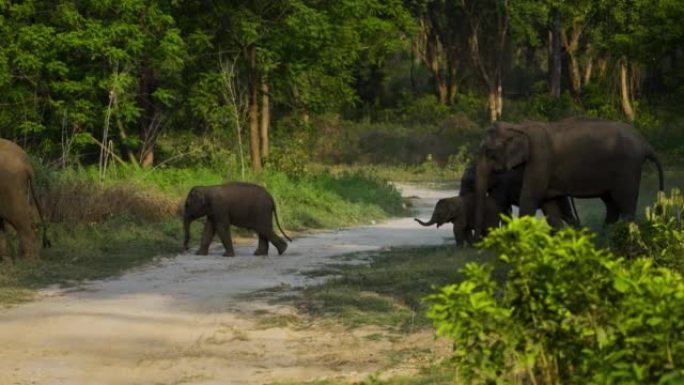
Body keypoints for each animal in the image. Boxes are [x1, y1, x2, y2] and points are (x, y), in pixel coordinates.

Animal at [476, 116, 664, 237]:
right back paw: (605, 235)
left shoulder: (541, 158)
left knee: (624, 202)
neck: (519, 127)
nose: (479, 239)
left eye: (488, 151)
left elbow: (530, 197)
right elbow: (548, 204)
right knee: (611, 203)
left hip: (627, 168)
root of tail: (645, 144)